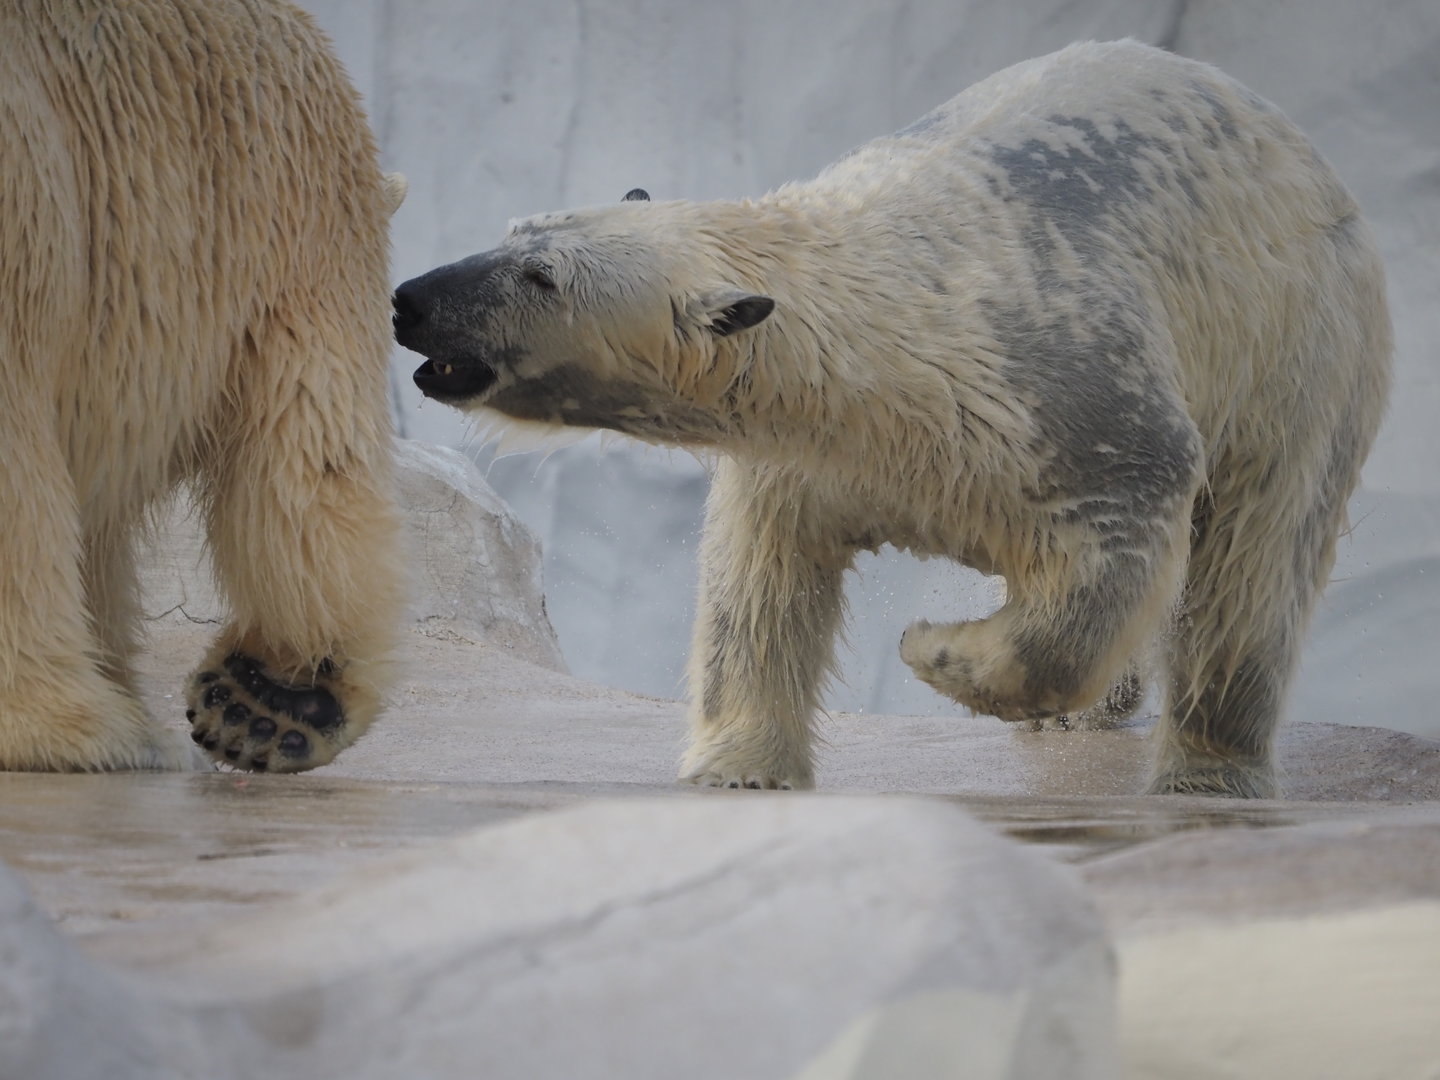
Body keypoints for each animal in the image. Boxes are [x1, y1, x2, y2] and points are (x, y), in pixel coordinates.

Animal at [392, 40, 1392, 797]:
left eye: (543, 279)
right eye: (517, 231)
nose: (411, 299)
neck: (885, 353)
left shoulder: (1073, 402)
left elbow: (1101, 576)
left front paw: (932, 647)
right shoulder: (809, 457)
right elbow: (758, 586)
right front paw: (736, 767)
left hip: (1300, 343)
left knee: (1254, 567)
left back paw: (1207, 769)